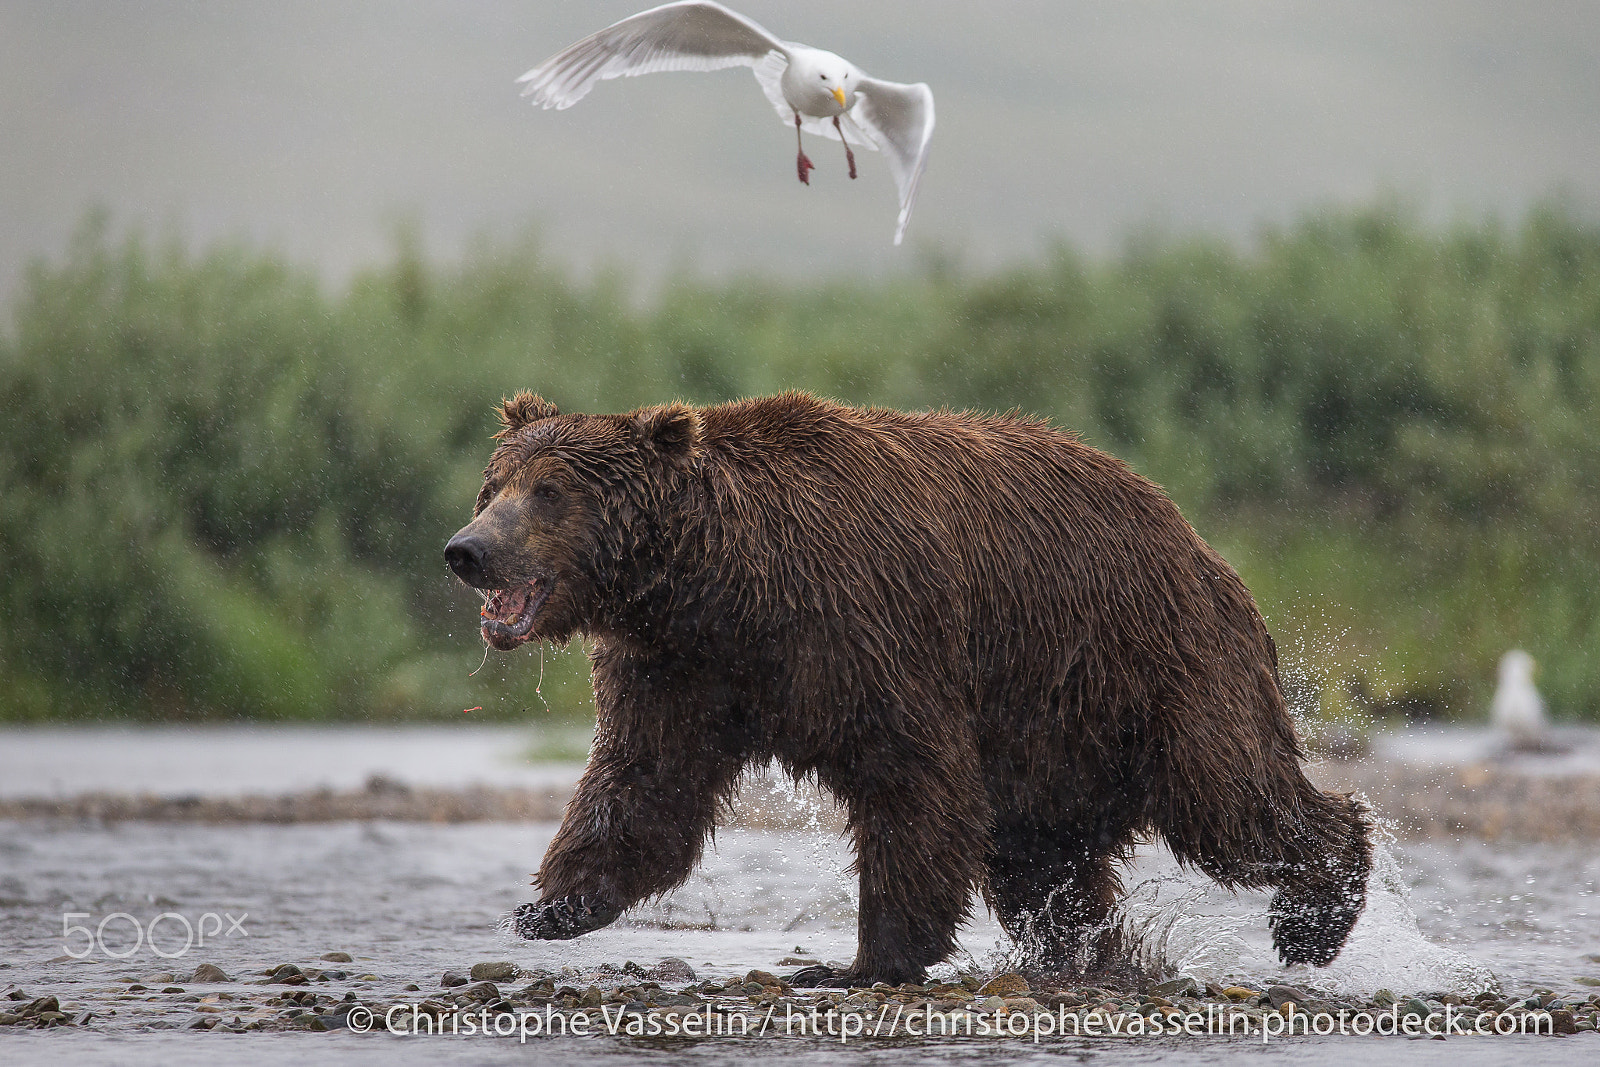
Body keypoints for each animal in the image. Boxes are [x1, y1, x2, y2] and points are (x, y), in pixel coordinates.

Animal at [444, 391, 1371, 987]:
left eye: (550, 491)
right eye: (494, 484)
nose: (467, 549)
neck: (722, 587)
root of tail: (1205, 548)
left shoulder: (865, 628)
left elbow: (912, 780)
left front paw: (863, 959)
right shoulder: (678, 670)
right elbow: (643, 784)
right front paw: (552, 904)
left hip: (1153, 668)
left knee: (1229, 797)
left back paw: (1314, 917)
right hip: (1054, 730)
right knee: (1045, 860)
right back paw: (1087, 955)